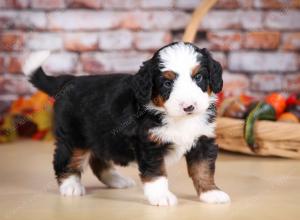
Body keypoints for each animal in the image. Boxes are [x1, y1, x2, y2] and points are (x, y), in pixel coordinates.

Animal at [24, 41, 230, 206]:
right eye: (167, 83)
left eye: (198, 77)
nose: (189, 107)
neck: (177, 118)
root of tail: (69, 80)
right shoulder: (149, 144)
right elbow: (156, 173)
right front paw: (161, 196)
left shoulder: (202, 139)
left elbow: (203, 169)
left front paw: (211, 193)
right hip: (73, 137)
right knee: (65, 160)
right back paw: (71, 186)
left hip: (101, 136)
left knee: (98, 160)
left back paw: (116, 180)